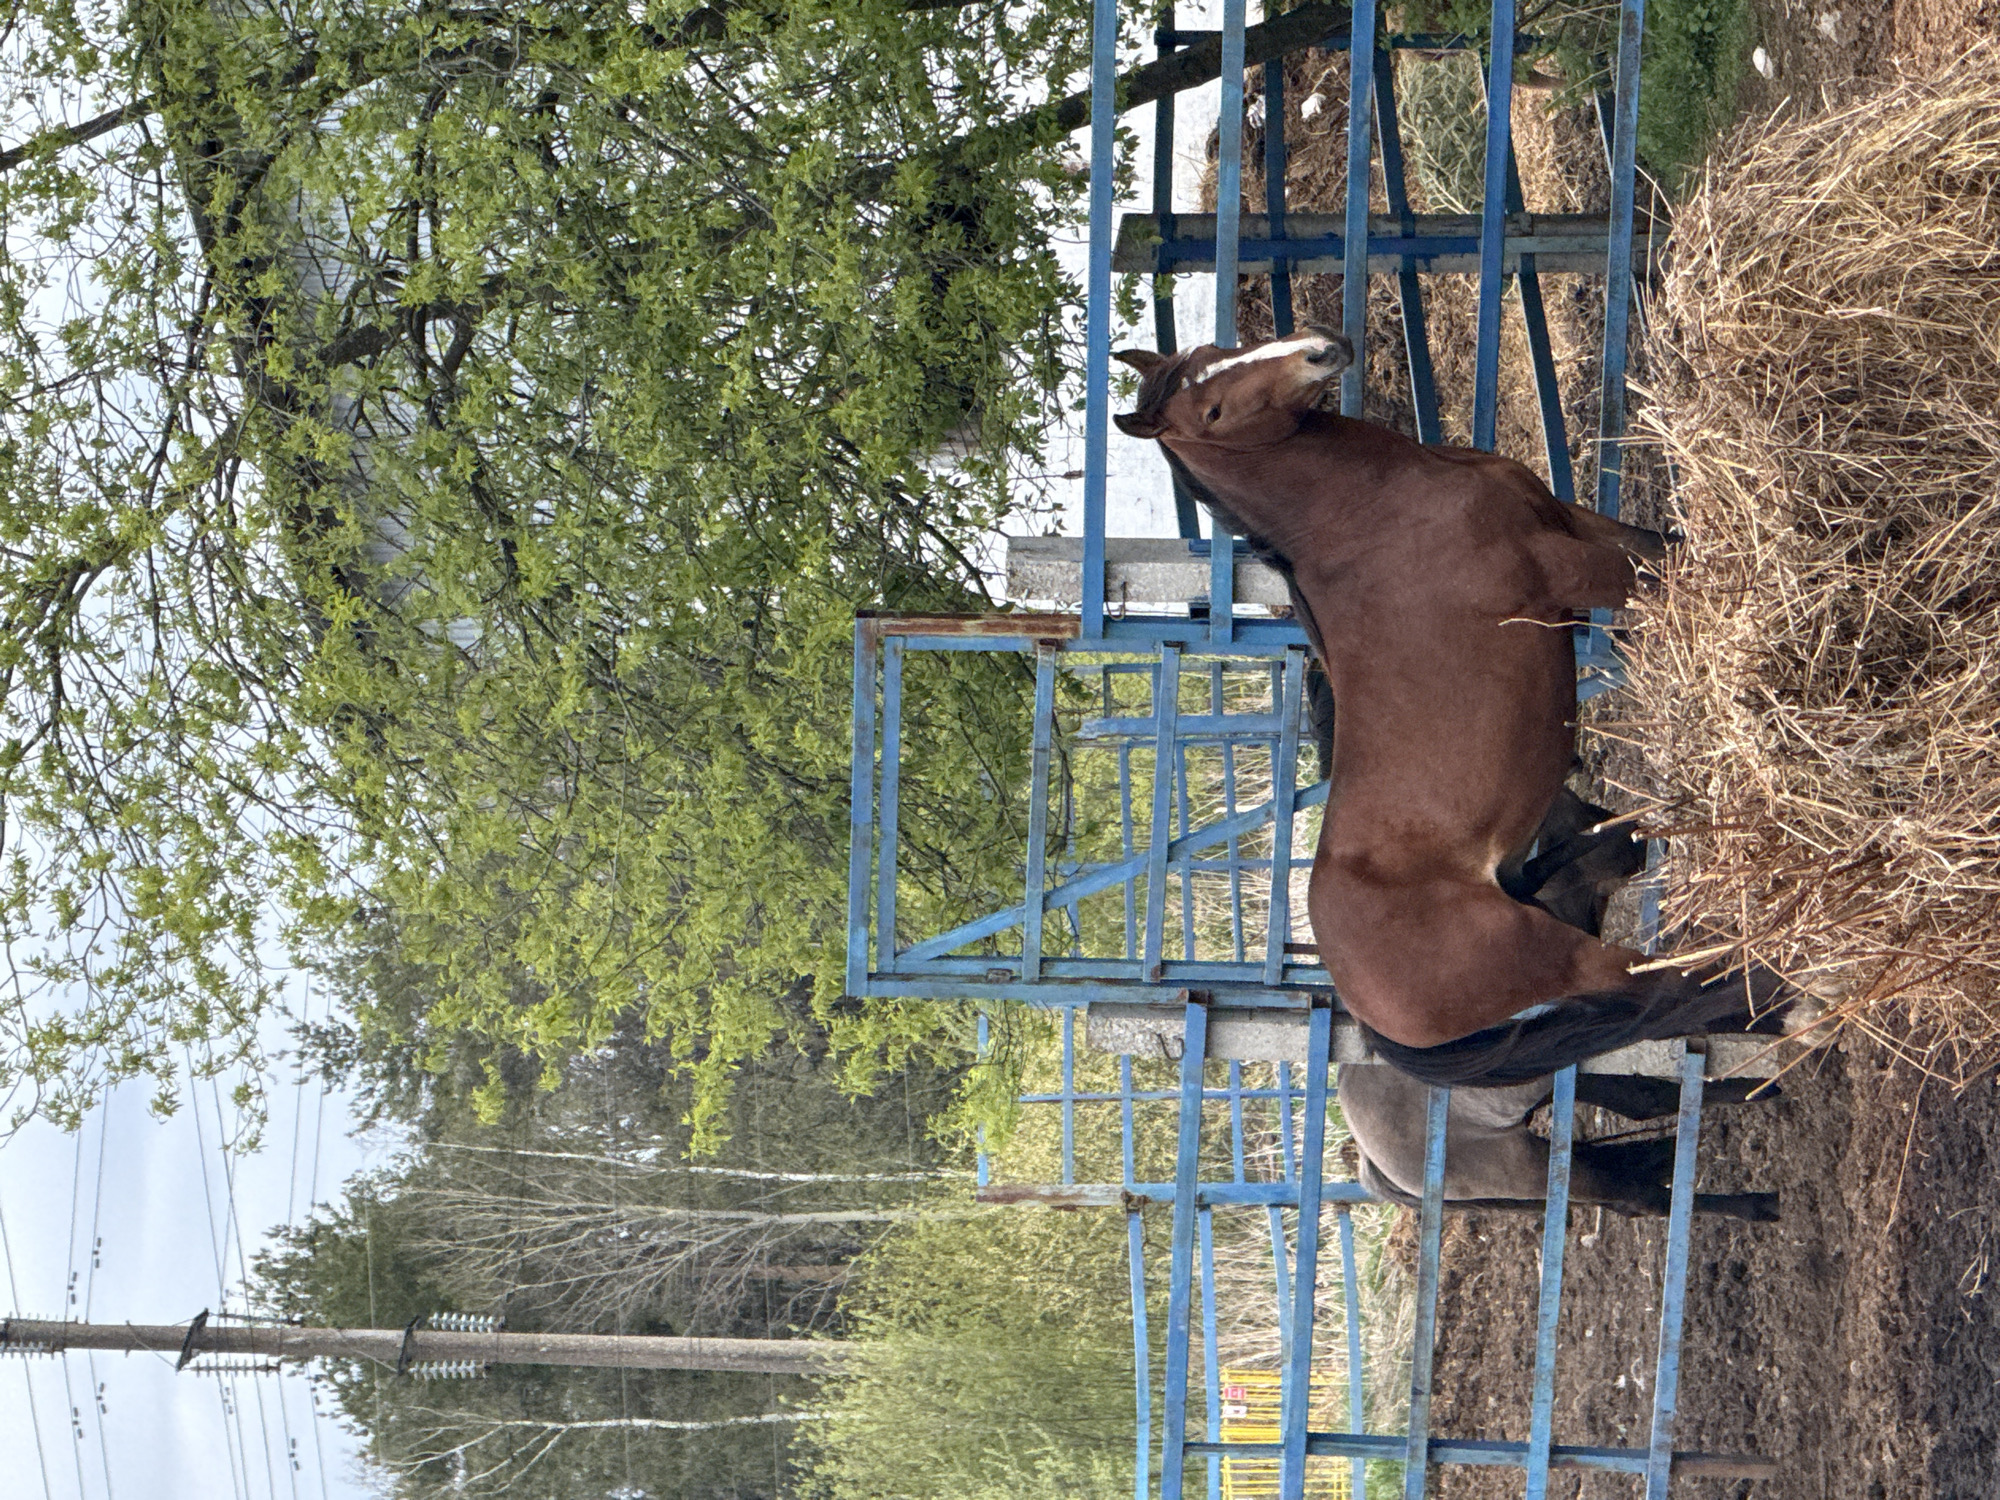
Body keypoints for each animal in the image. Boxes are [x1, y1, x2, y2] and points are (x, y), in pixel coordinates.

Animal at [1113, 328, 1796, 1087]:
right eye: (1212, 412)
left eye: (1217, 350)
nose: (1320, 349)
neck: (1366, 515)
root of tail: (1362, 1008)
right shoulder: (1571, 568)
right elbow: (1671, 573)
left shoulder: (1572, 522)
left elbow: (1659, 545)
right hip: (1558, 955)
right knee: (1662, 987)